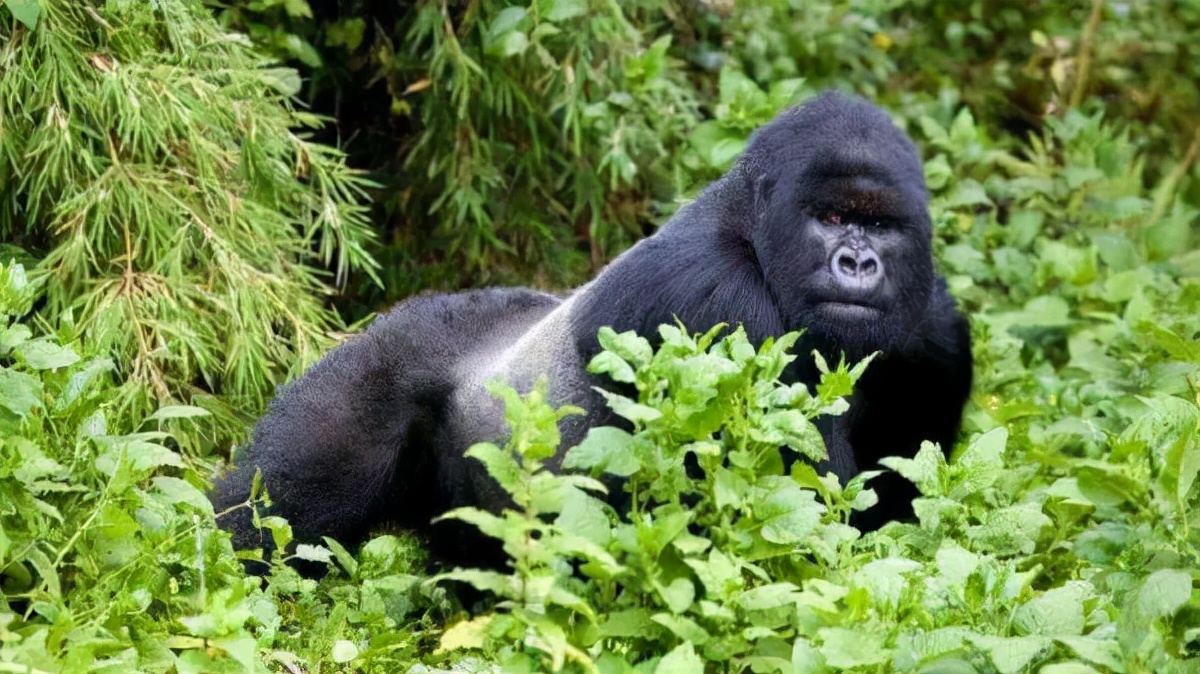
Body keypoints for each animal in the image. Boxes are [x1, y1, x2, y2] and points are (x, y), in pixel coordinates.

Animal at [208, 90, 974, 566]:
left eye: (881, 225)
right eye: (833, 217)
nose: (858, 263)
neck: (749, 229)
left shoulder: (934, 332)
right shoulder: (718, 299)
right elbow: (795, 520)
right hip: (371, 371)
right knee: (269, 521)